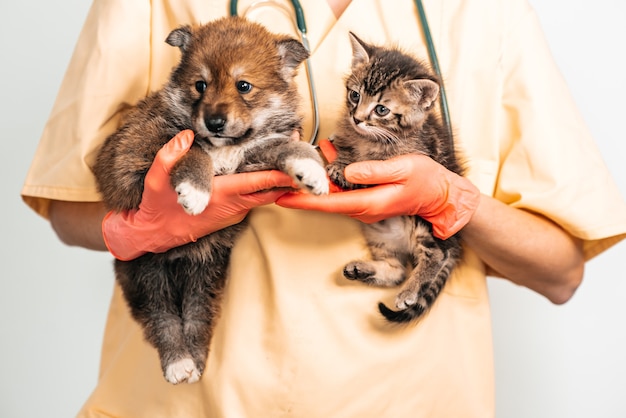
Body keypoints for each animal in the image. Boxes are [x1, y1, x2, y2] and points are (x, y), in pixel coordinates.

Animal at [94, 17, 326, 386]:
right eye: (200, 85)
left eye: (244, 86)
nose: (214, 122)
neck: (226, 146)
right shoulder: (137, 155)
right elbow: (194, 148)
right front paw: (195, 191)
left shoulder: (255, 154)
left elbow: (288, 146)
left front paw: (312, 170)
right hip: (144, 269)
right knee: (162, 319)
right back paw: (178, 363)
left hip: (206, 274)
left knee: (196, 317)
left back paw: (196, 361)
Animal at [326, 33, 464, 324]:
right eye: (354, 95)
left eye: (381, 110)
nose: (356, 118)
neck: (370, 139)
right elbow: (346, 146)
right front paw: (341, 155)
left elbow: (370, 169)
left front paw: (348, 171)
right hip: (378, 234)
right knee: (397, 270)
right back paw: (364, 270)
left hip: (425, 220)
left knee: (437, 254)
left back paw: (409, 291)